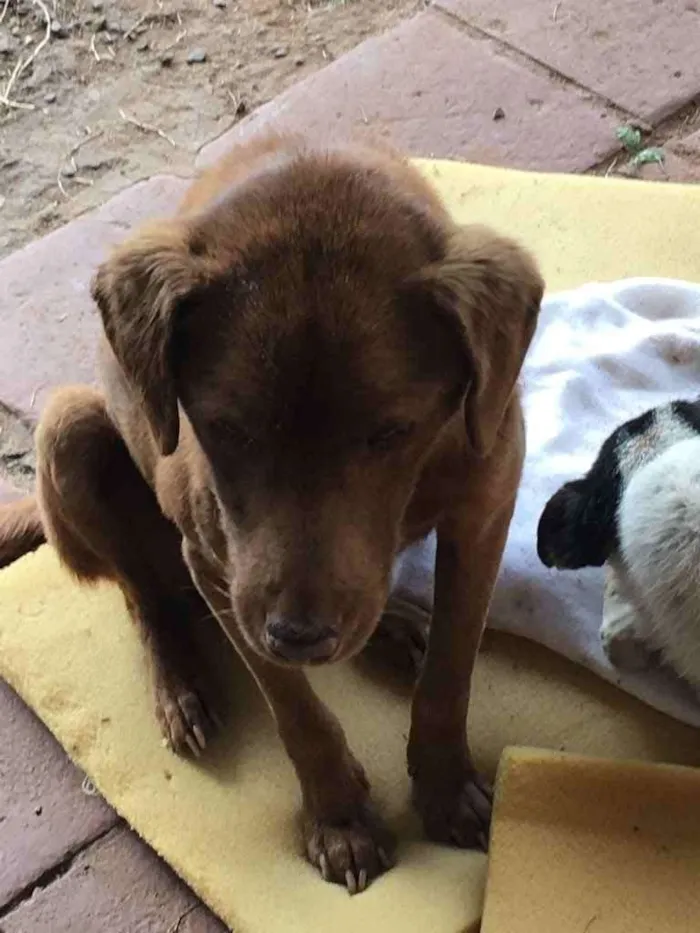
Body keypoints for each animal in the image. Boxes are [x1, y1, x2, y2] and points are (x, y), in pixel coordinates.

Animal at [0, 135, 540, 892]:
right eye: (226, 428)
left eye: (390, 432)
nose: (298, 634)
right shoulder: (220, 570)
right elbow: (297, 712)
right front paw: (339, 820)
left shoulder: (488, 504)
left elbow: (451, 669)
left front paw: (445, 787)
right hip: (70, 427)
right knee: (143, 595)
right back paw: (181, 683)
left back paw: (392, 630)